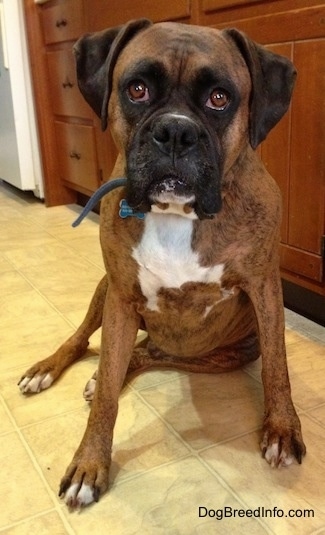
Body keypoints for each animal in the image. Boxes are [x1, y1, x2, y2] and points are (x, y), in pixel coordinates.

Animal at [19, 18, 306, 508]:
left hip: (217, 354)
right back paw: (50, 369)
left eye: (219, 98)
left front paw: (282, 429)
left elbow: (277, 366)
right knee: (88, 343)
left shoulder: (265, 287)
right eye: (137, 89)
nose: (176, 131)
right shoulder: (120, 297)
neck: (178, 216)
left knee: (149, 352)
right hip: (104, 292)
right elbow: (108, 397)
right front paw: (89, 463)